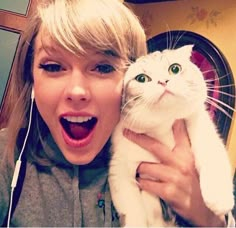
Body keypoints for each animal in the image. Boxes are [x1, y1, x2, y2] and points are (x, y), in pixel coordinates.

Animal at [109, 44, 234, 226]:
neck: (164, 127)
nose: (163, 81)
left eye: (175, 68)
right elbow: (132, 210)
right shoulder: (119, 167)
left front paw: (219, 199)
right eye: (141, 78)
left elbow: (211, 156)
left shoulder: (202, 125)